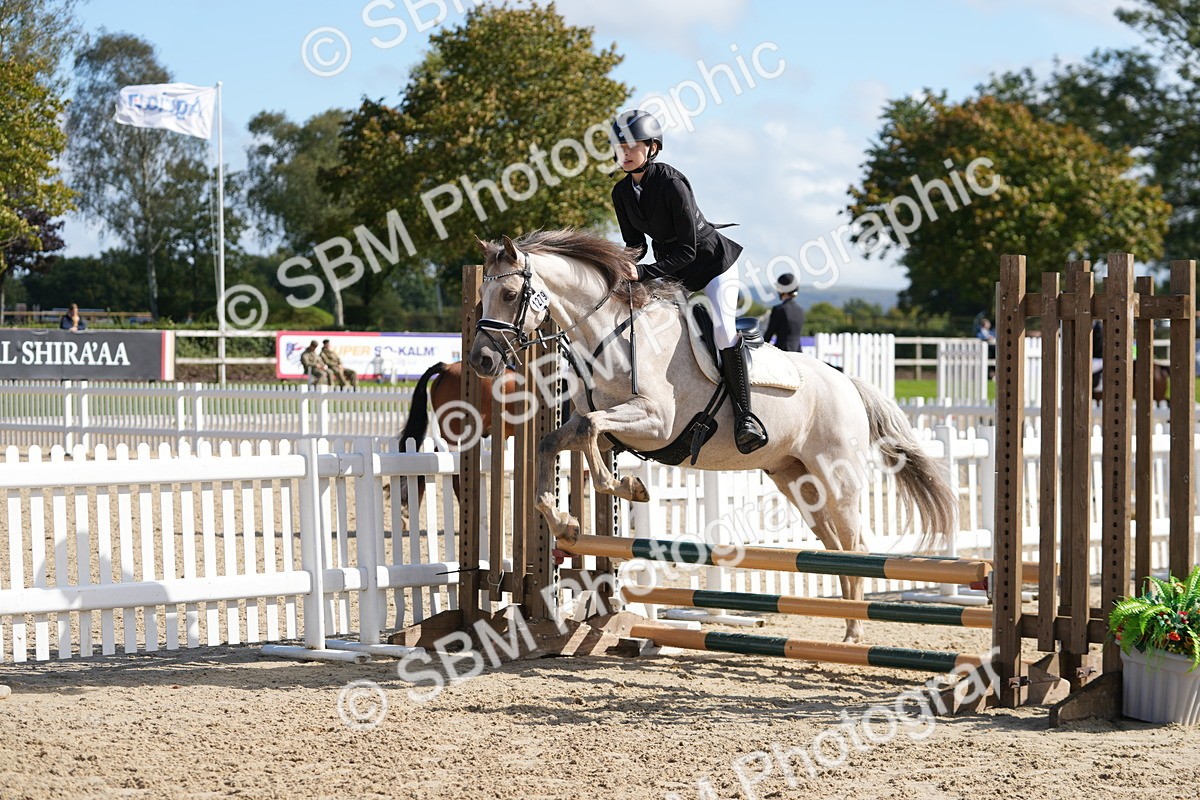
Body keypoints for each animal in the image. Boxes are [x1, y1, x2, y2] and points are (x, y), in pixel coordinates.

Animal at [466, 230, 957, 643]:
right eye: (482, 296)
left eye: (509, 294)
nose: (481, 362)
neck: (610, 335)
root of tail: (846, 382)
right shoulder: (612, 429)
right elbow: (555, 442)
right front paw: (564, 521)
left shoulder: (653, 423)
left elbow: (592, 435)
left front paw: (626, 485)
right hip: (797, 480)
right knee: (834, 548)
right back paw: (847, 628)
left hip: (838, 478)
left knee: (855, 546)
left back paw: (855, 634)